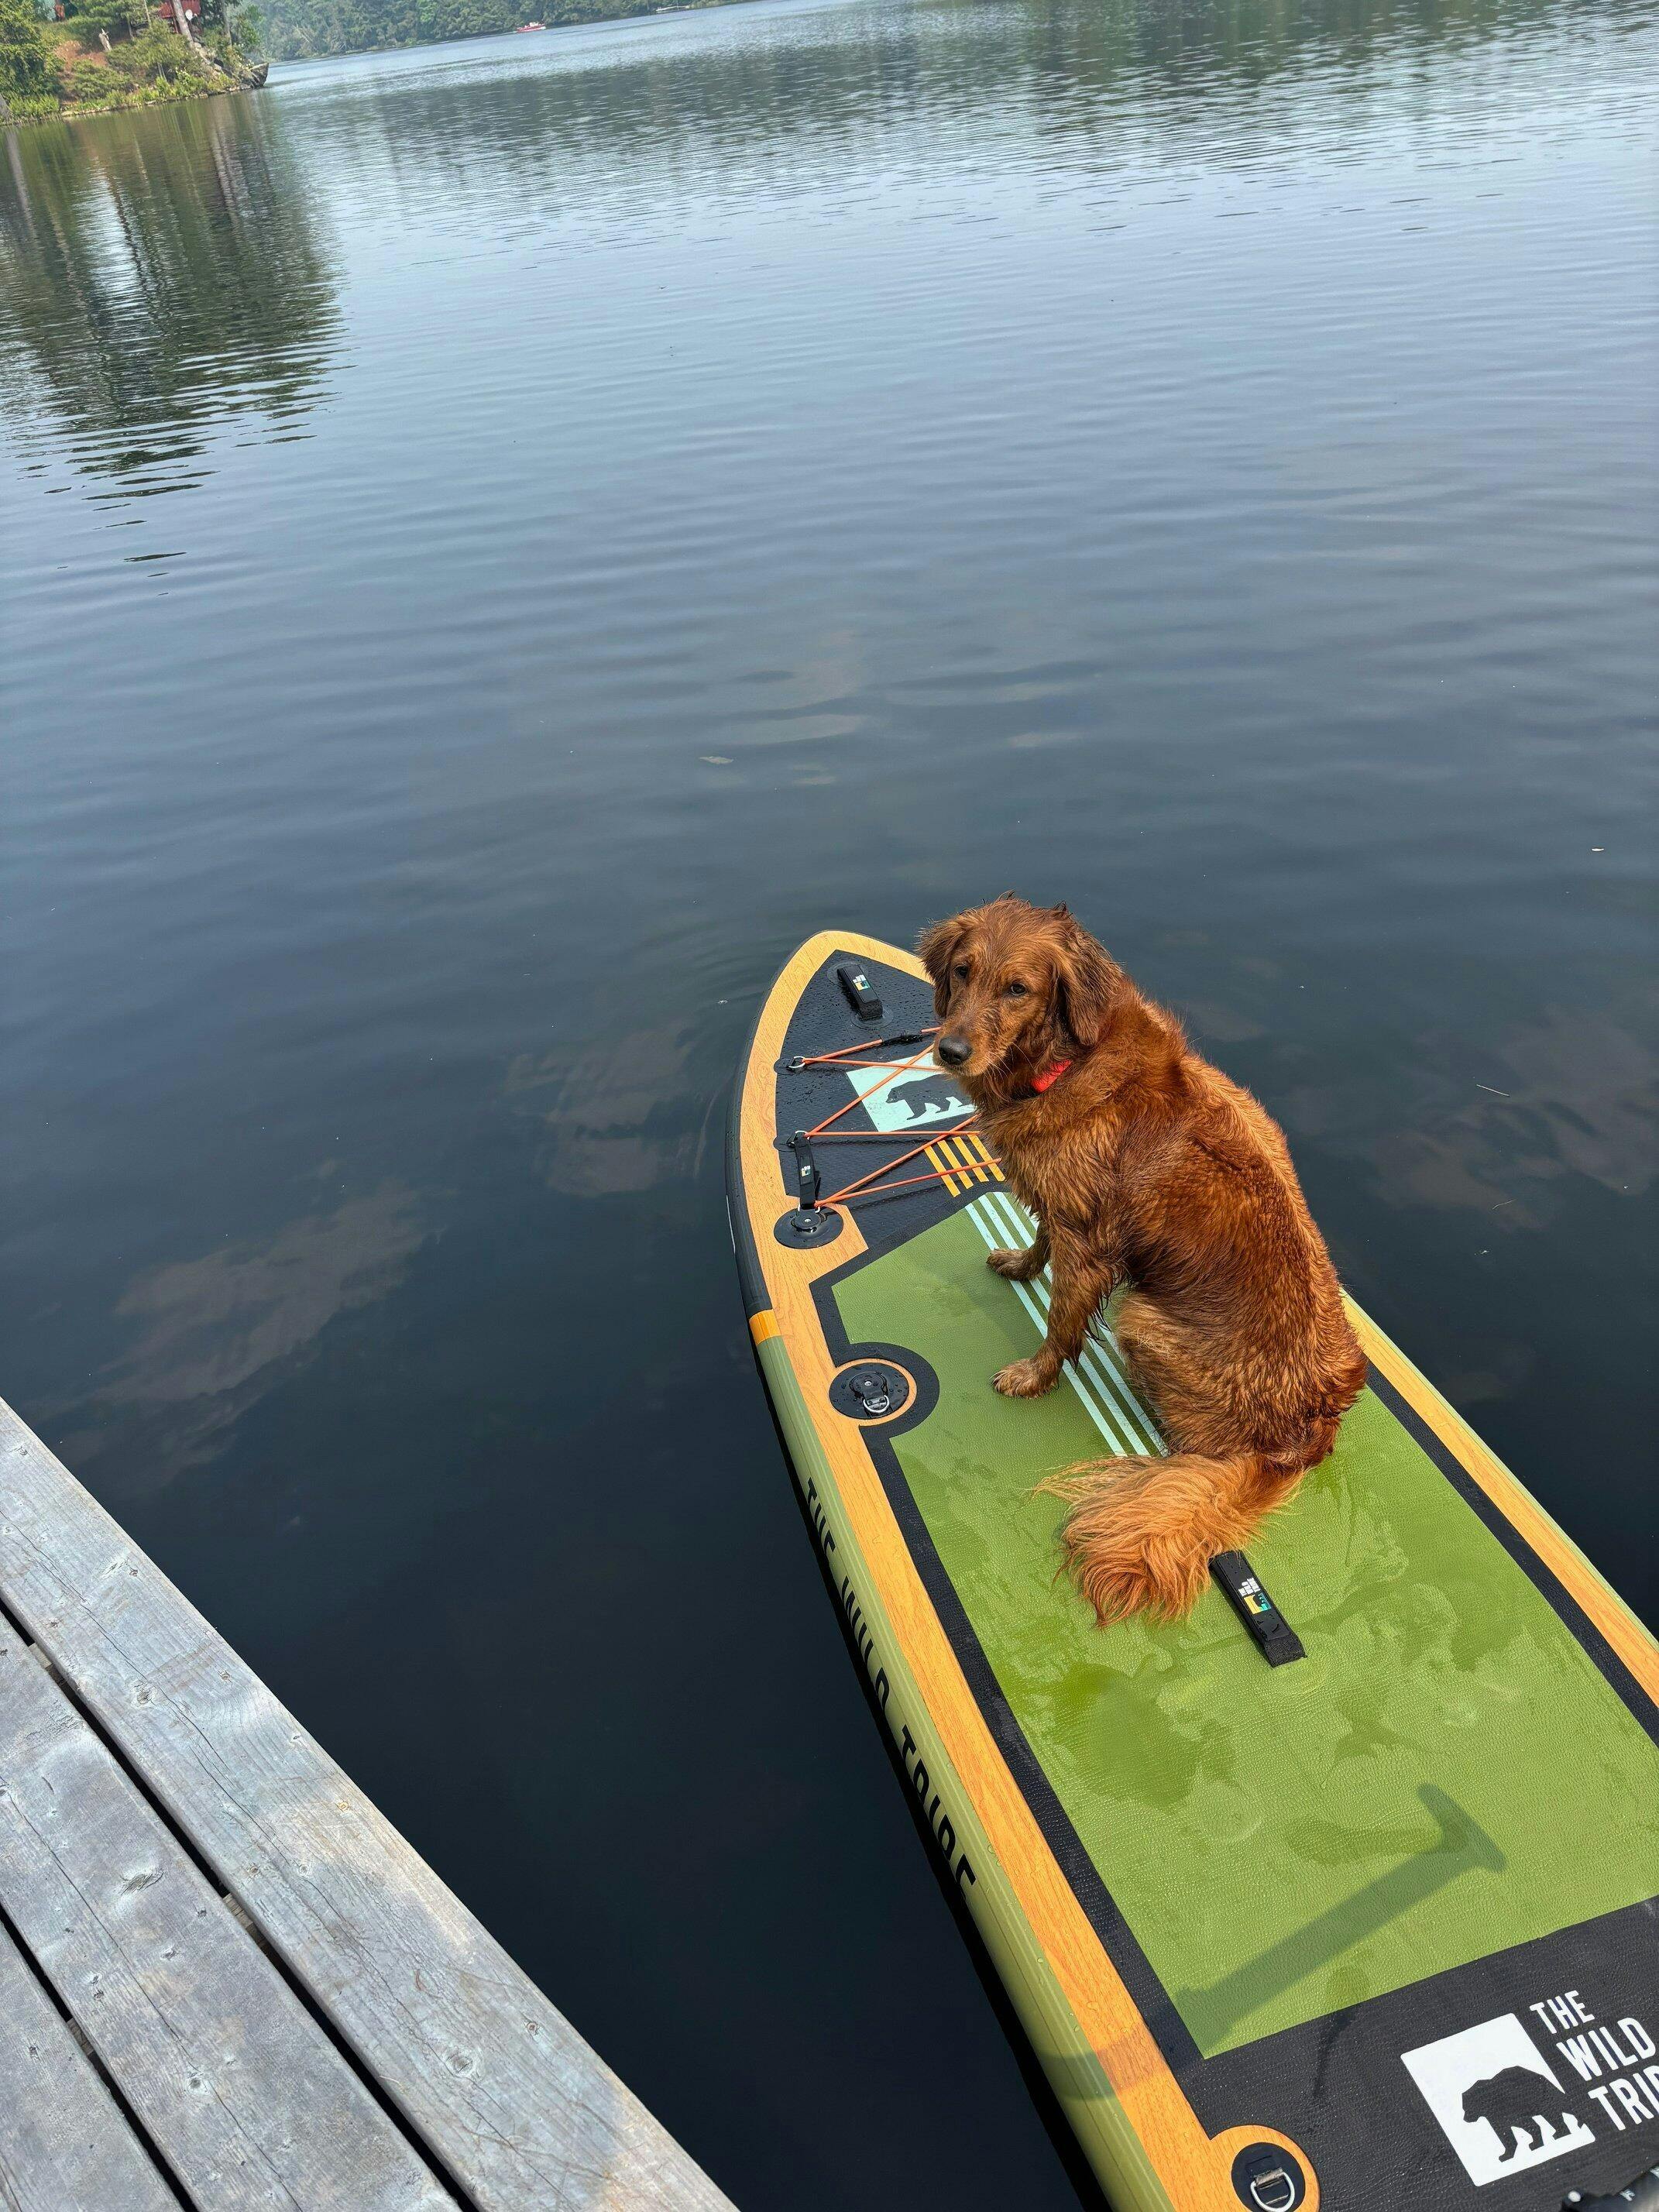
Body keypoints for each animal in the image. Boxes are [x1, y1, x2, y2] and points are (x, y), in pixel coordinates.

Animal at [917, 895, 1366, 1624]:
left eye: (1019, 989)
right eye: (963, 971)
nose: (950, 1050)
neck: (1067, 1060)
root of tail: (1305, 1437)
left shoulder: (1089, 1240)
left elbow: (1062, 1321)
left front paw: (1033, 1376)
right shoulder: (1064, 1207)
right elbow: (1040, 1241)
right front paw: (1020, 1265)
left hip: (1142, 1318)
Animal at [1460, 2066, 1580, 2162]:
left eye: (1468, 2109)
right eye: (1464, 2109)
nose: (1465, 2118)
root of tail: (1537, 2075)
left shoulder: (1506, 2113)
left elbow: (1520, 2127)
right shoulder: (1496, 2118)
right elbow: (1507, 2134)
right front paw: (1509, 2154)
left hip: (1539, 2099)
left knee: (1553, 2112)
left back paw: (1564, 2131)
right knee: (1561, 2105)